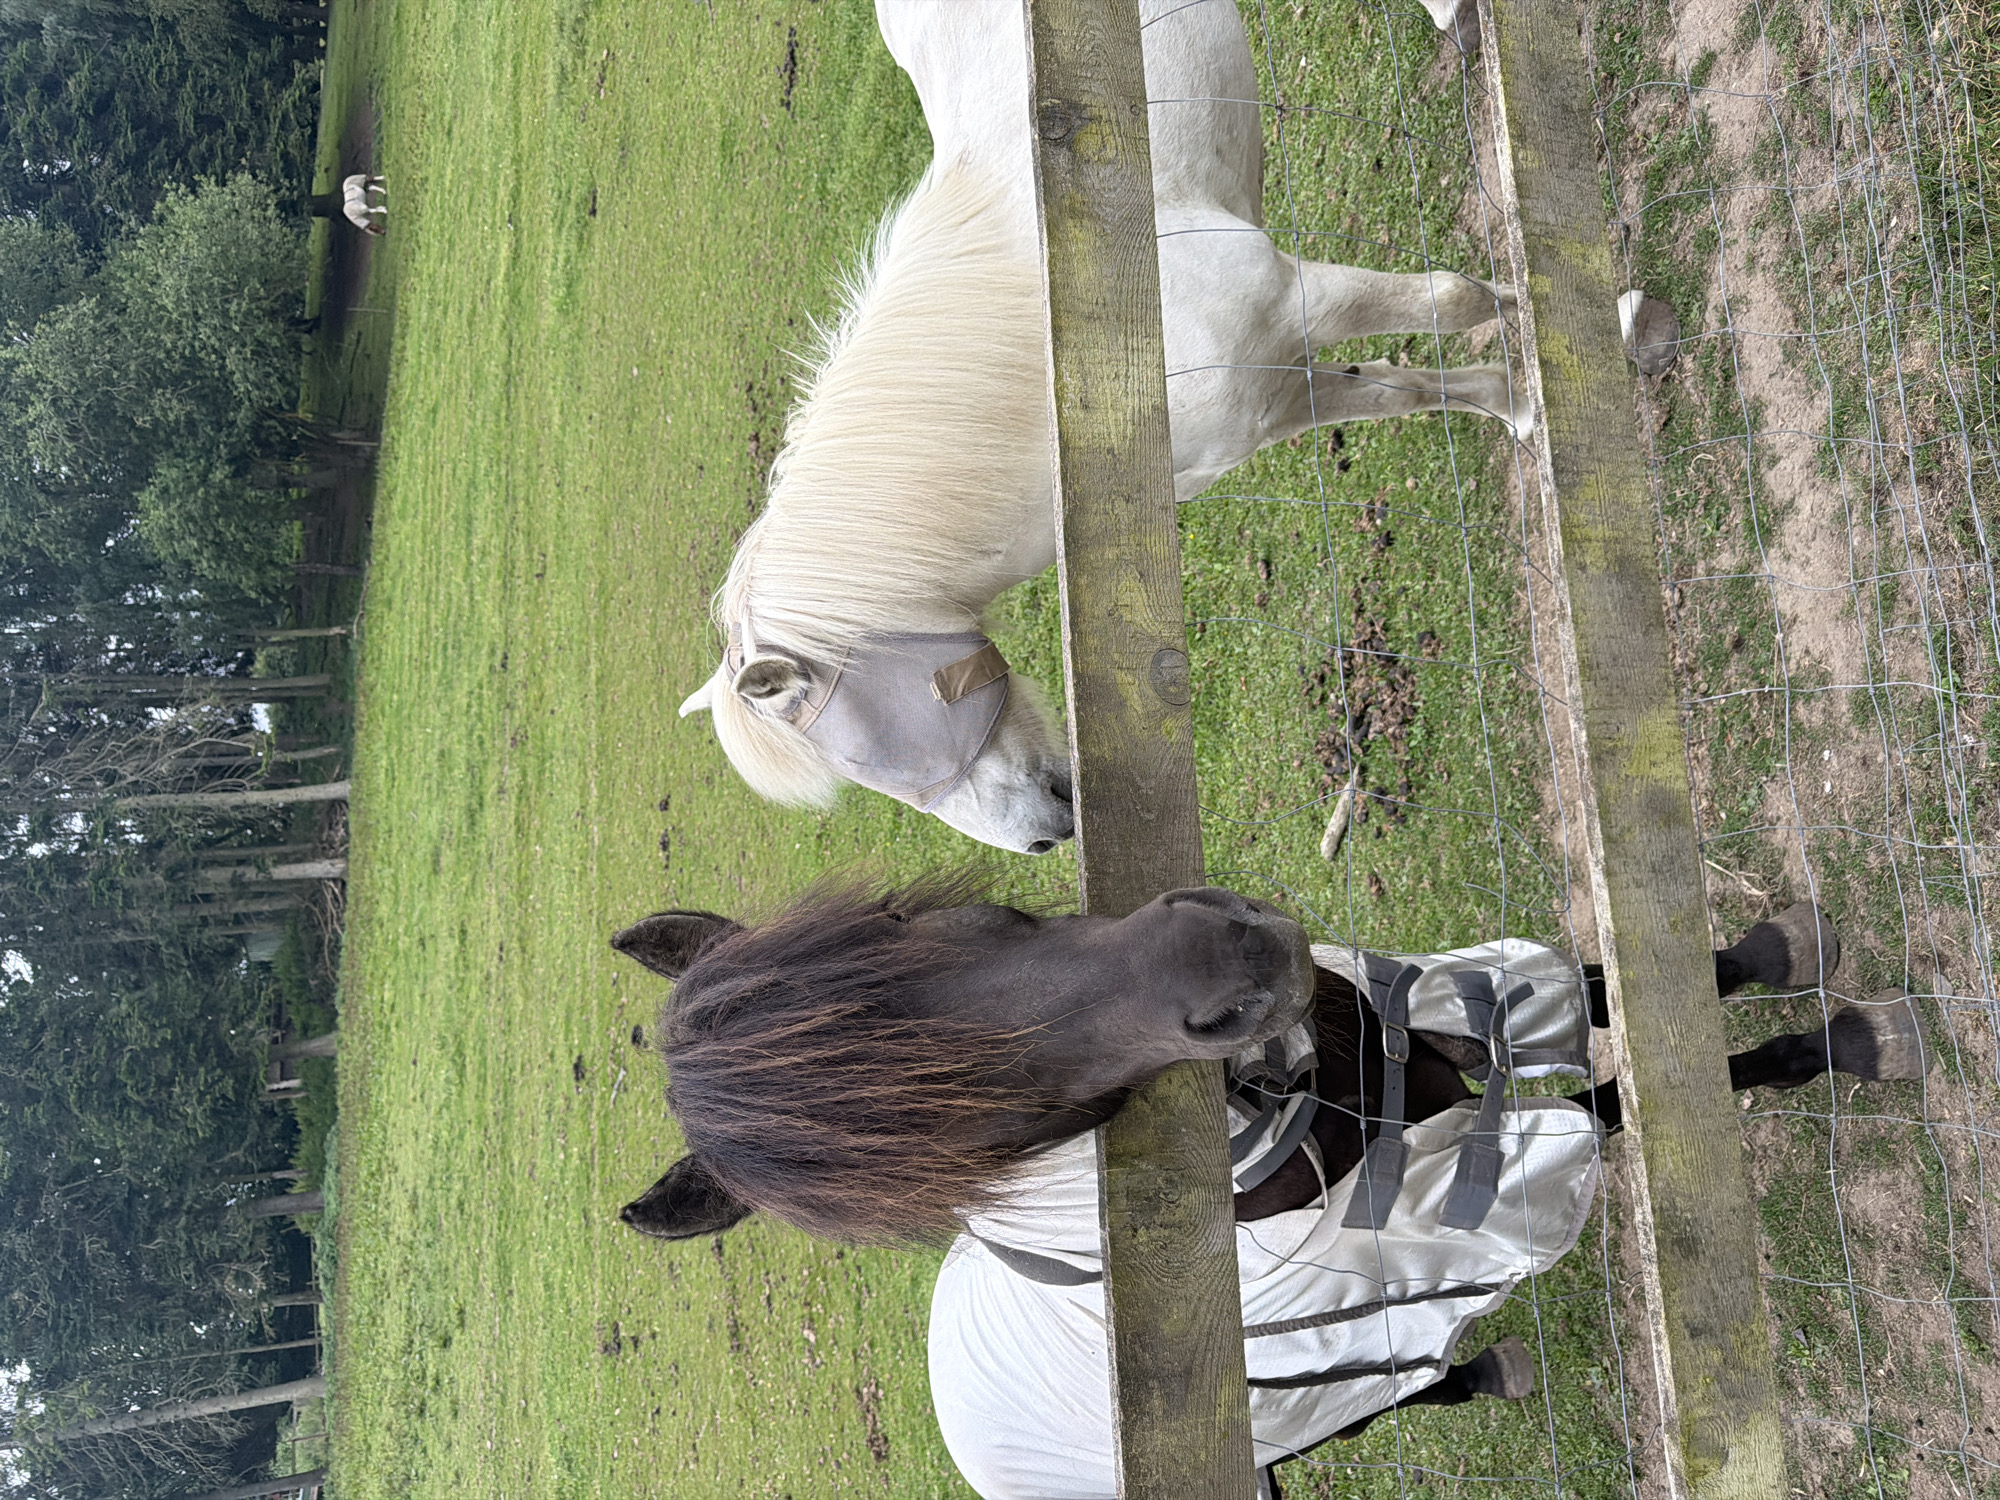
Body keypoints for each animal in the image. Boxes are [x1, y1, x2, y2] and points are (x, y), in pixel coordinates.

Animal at [610, 882, 1928, 1496]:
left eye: (941, 918)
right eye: (973, 1127)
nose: (1232, 958)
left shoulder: (1422, 1020)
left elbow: (1589, 992)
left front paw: (1774, 959)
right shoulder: (1453, 1202)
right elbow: (1617, 1100)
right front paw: (1840, 1043)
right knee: (1396, 1397)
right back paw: (1487, 1371)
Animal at [676, 0, 1530, 854]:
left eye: (870, 743)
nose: (1044, 838)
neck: (1073, 353)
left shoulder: (1297, 300)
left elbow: (1456, 299)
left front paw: (1547, 316)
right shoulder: (1275, 398)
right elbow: (1403, 387)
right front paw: (1515, 402)